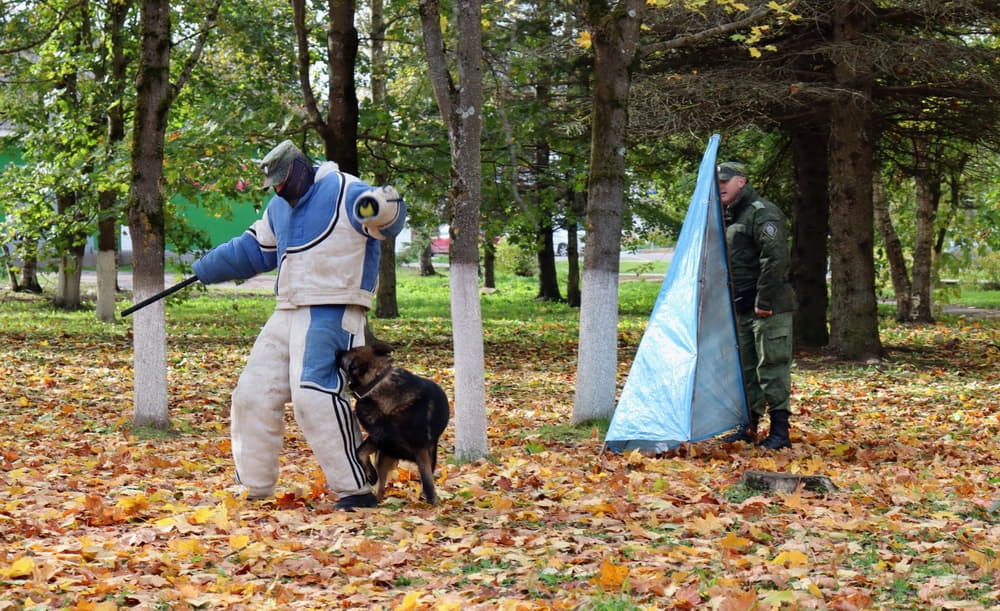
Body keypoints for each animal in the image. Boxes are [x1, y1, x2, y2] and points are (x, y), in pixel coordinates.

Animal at [336, 342, 450, 504]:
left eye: (349, 352)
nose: (336, 351)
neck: (376, 382)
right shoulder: (380, 438)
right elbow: (360, 452)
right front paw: (371, 474)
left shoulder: (420, 450)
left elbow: (428, 483)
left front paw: (432, 504)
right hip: (384, 456)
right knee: (381, 486)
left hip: (427, 454)